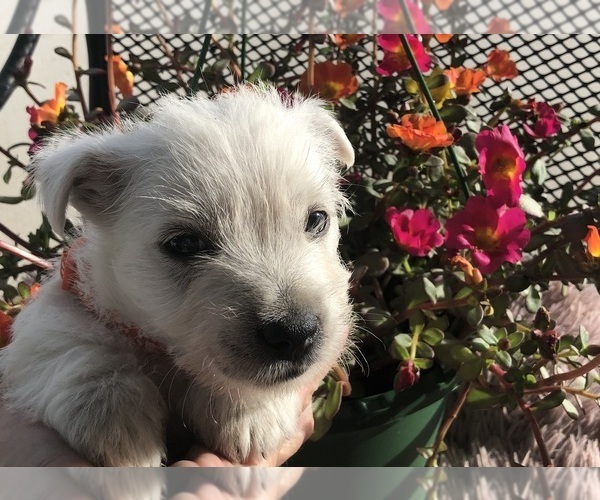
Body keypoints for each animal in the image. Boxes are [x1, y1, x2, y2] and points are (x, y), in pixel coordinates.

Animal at [0, 87, 354, 468]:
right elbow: (69, 343)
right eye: (184, 243)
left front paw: (250, 413)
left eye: (317, 219)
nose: (296, 333)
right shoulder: (60, 307)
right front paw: (119, 426)